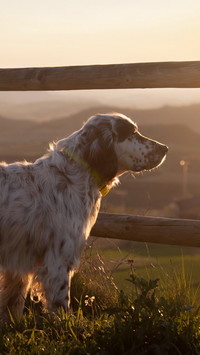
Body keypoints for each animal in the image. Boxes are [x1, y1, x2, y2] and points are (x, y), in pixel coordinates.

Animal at [0, 113, 168, 320]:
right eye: (132, 133)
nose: (165, 148)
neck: (73, 176)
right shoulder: (58, 261)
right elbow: (62, 306)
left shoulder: (19, 263)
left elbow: (12, 305)